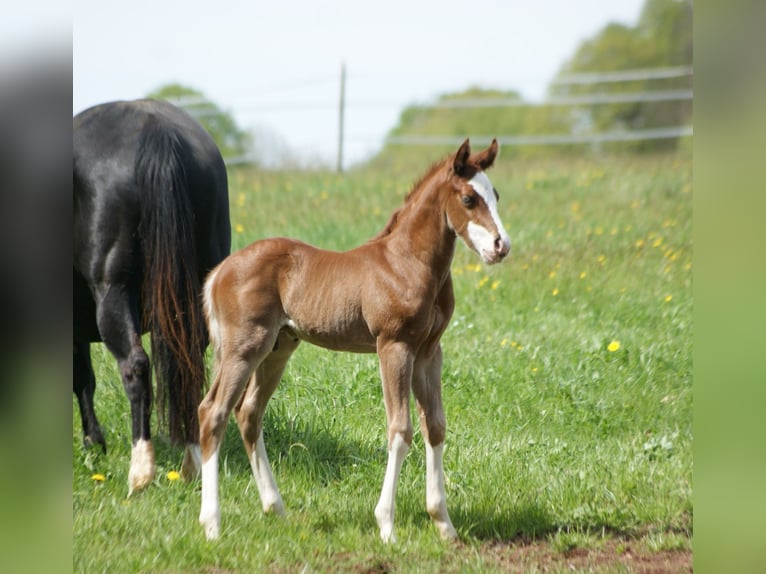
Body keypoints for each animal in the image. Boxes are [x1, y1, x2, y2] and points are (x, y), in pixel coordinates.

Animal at [74, 99, 231, 494]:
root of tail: (155, 130)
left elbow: (81, 378)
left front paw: (93, 443)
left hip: (113, 293)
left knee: (135, 366)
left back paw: (141, 469)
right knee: (188, 364)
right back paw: (192, 459)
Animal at [197, 138, 510, 541]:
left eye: (496, 195)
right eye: (469, 198)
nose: (501, 246)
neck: (409, 262)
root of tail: (220, 270)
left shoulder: (429, 353)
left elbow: (435, 427)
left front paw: (444, 524)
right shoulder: (394, 346)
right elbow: (400, 429)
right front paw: (387, 526)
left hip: (278, 347)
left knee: (248, 412)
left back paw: (275, 508)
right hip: (244, 347)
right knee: (213, 412)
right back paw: (212, 524)